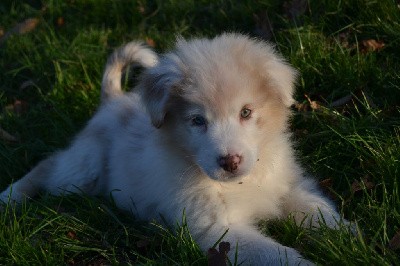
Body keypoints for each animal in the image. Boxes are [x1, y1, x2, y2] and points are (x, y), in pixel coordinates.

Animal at [0, 33, 344, 264]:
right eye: (197, 120)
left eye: (246, 112)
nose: (230, 162)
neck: (241, 184)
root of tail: (112, 101)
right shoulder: (217, 230)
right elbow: (274, 253)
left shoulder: (286, 187)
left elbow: (319, 213)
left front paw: (348, 237)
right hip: (83, 173)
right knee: (49, 164)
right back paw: (10, 196)